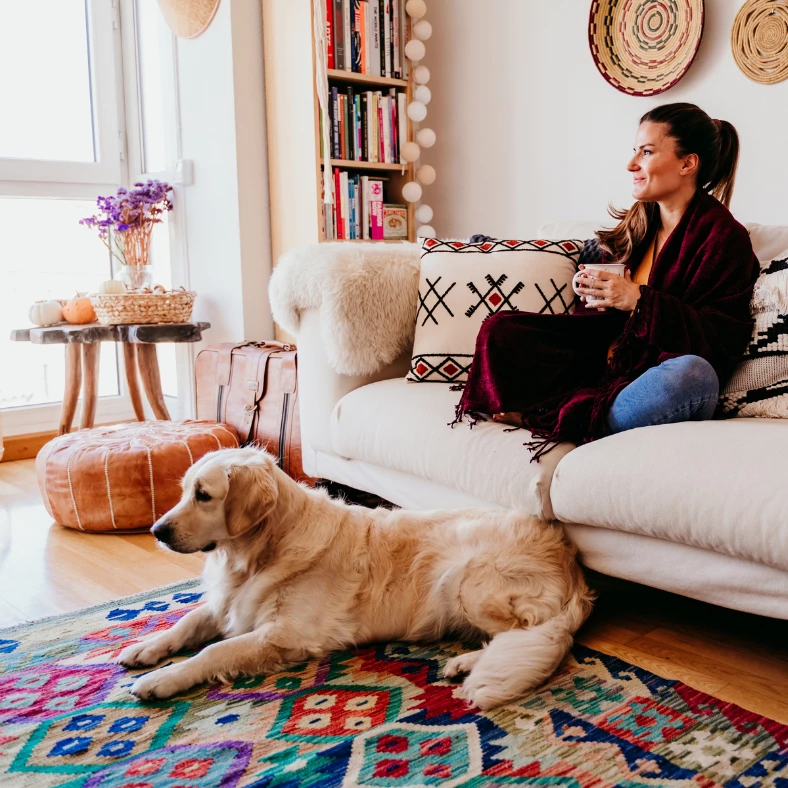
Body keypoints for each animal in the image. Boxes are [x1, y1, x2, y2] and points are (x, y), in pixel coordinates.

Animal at [118, 446, 592, 712]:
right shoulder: (230, 604)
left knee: (524, 633)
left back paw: (466, 663)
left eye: (204, 495)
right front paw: (145, 648)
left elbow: (213, 652)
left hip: (467, 578)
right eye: (184, 490)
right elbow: (187, 621)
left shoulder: (286, 636)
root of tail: (571, 562)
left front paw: (162, 680)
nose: (157, 531)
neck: (260, 552)